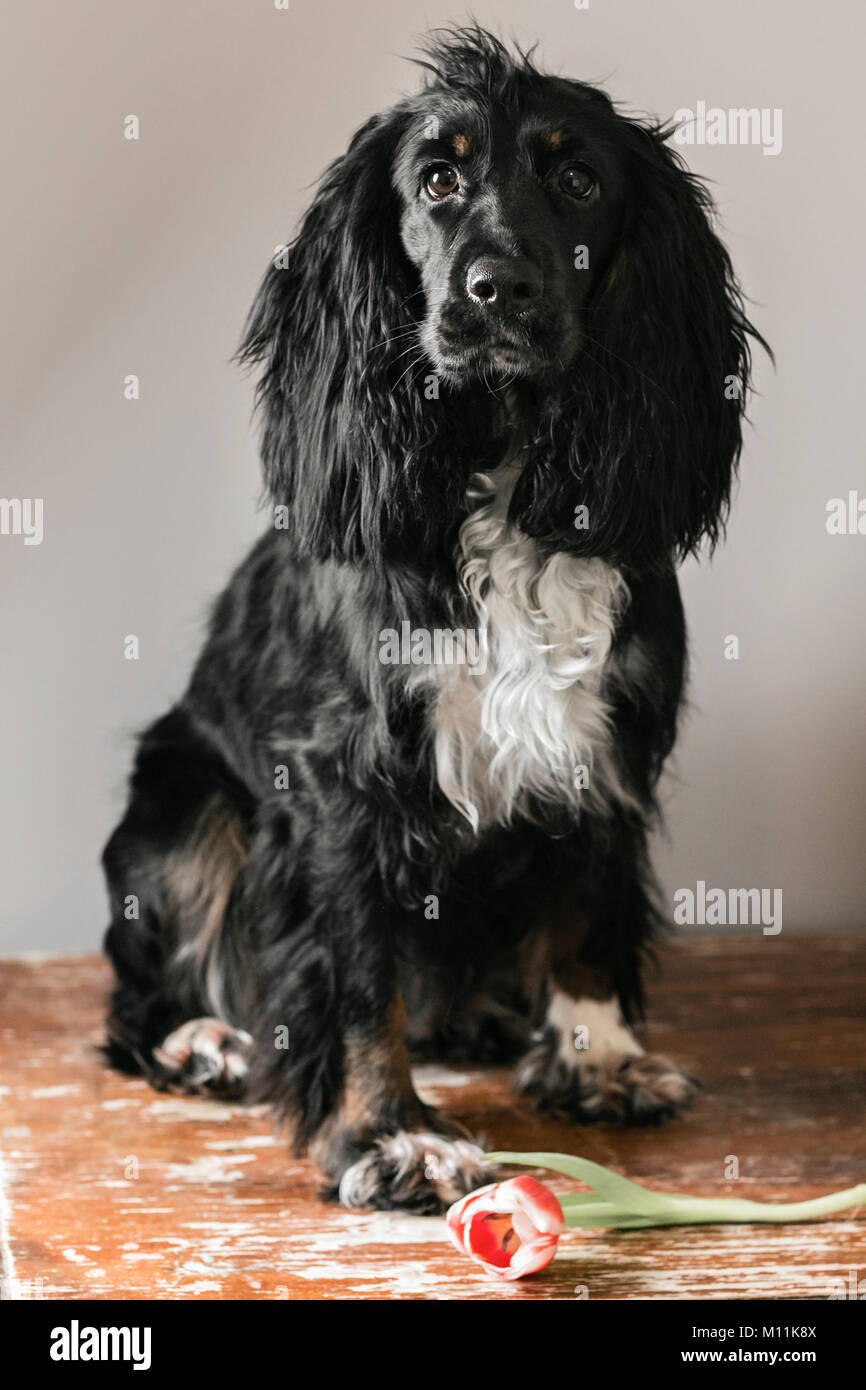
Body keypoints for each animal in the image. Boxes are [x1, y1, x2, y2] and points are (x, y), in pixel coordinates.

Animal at [103, 27, 767, 1212]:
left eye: (578, 180)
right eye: (437, 180)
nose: (497, 287)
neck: (497, 470)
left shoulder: (605, 742)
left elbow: (588, 912)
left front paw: (597, 1057)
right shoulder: (339, 779)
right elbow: (362, 978)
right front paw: (392, 1135)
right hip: (184, 812)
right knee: (137, 995)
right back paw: (203, 1041)